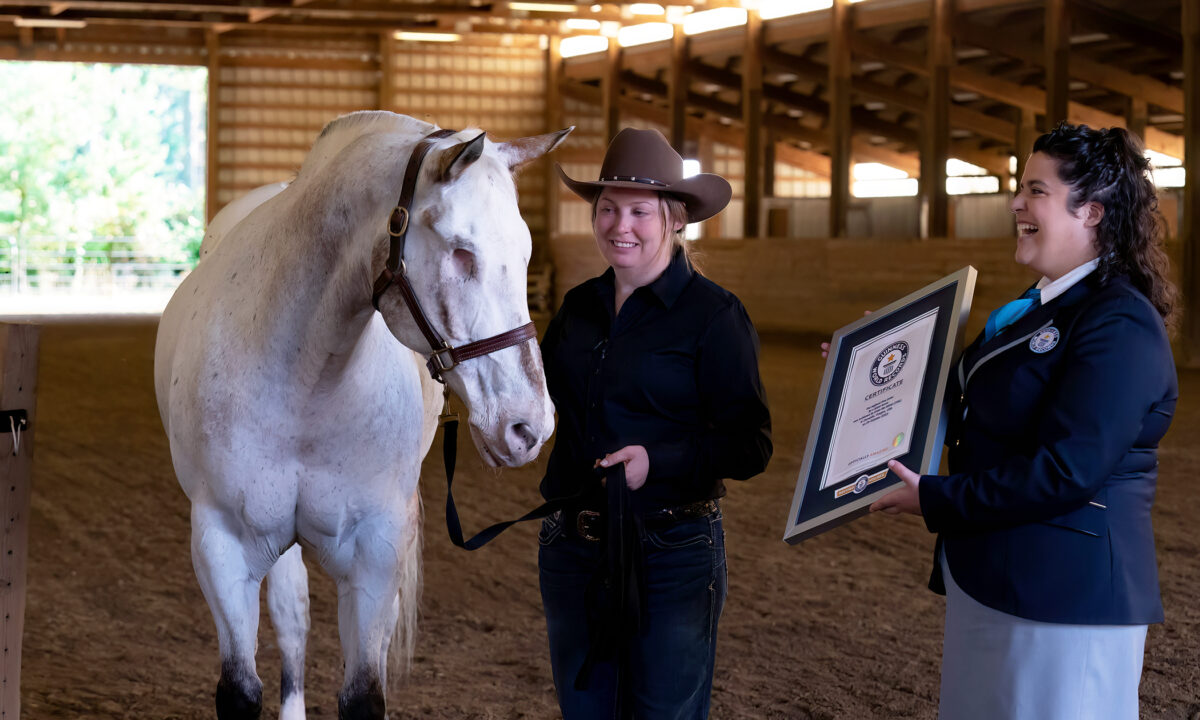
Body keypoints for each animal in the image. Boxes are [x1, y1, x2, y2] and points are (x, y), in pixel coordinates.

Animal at [154, 110, 571, 720]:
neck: (305, 377)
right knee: (293, 620)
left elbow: (364, 692)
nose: (528, 426)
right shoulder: (223, 545)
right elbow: (242, 688)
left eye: (524, 254)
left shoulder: (377, 549)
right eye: (461, 251)